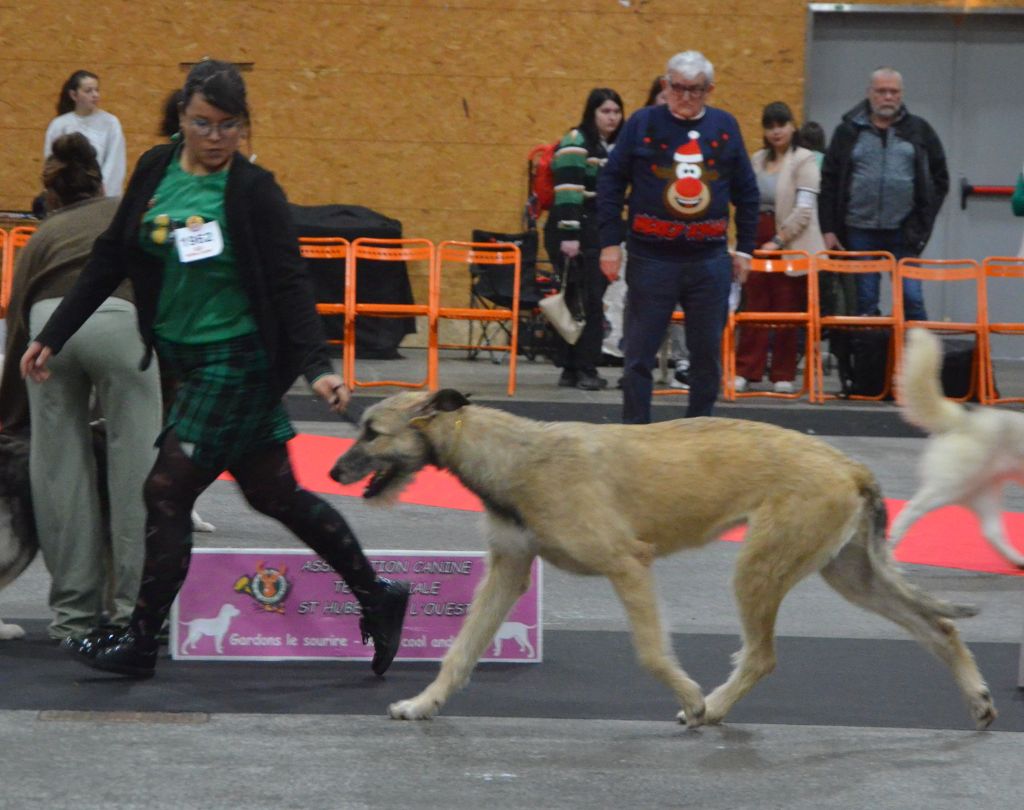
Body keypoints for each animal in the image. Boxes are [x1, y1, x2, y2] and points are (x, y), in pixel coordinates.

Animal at [331, 389, 995, 733]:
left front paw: (693, 697)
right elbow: (461, 651)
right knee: (938, 627)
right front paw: (424, 704)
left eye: (371, 431)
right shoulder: (509, 570)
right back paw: (979, 701)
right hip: (849, 573)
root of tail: (850, 463)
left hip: (758, 567)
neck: (511, 454)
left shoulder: (628, 563)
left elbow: (651, 652)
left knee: (762, 655)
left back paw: (715, 709)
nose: (334, 472)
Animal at [892, 325, 1024, 565]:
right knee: (910, 509)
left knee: (992, 532)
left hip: (982, 492)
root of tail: (962, 420)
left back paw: (1018, 560)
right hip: (947, 488)